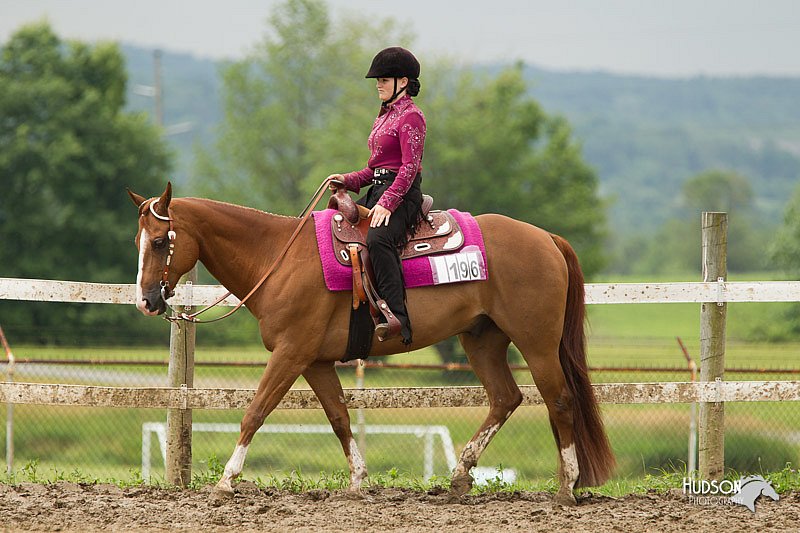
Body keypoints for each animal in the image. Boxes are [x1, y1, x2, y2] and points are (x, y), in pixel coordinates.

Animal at [128, 182, 616, 502]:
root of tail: (546, 238)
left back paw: (567, 487)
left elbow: (255, 412)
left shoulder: (290, 353)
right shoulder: (314, 361)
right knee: (505, 398)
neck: (276, 257)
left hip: (537, 342)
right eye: (139, 240)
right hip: (482, 339)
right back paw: (459, 478)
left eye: (160, 240)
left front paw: (227, 481)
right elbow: (339, 417)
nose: (147, 301)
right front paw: (359, 480)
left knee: (559, 400)